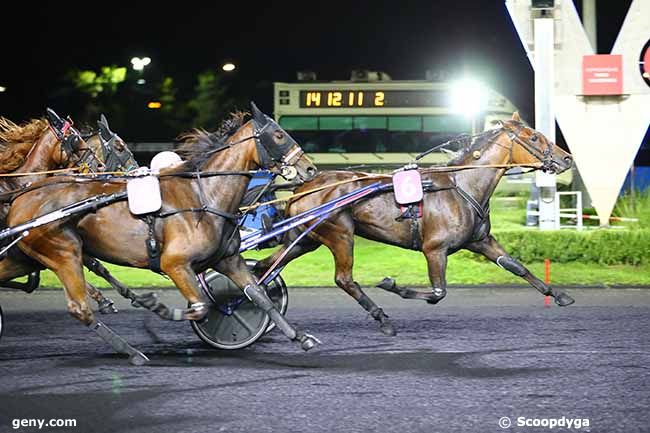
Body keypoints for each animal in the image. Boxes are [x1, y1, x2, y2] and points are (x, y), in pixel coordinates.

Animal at [4, 103, 318, 362]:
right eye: (278, 135)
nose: (311, 169)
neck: (203, 195)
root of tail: (22, 198)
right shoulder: (175, 263)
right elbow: (201, 305)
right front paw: (156, 306)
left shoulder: (228, 260)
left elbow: (260, 296)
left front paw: (301, 338)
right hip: (64, 250)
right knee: (79, 308)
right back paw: (131, 352)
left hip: (27, 256)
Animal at [256, 112, 576, 334]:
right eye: (534, 138)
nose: (567, 159)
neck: (462, 186)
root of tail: (303, 186)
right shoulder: (435, 249)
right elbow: (437, 293)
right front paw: (392, 284)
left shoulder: (480, 241)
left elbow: (515, 266)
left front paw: (559, 294)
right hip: (340, 235)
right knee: (343, 279)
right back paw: (382, 318)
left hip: (305, 239)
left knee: (264, 267)